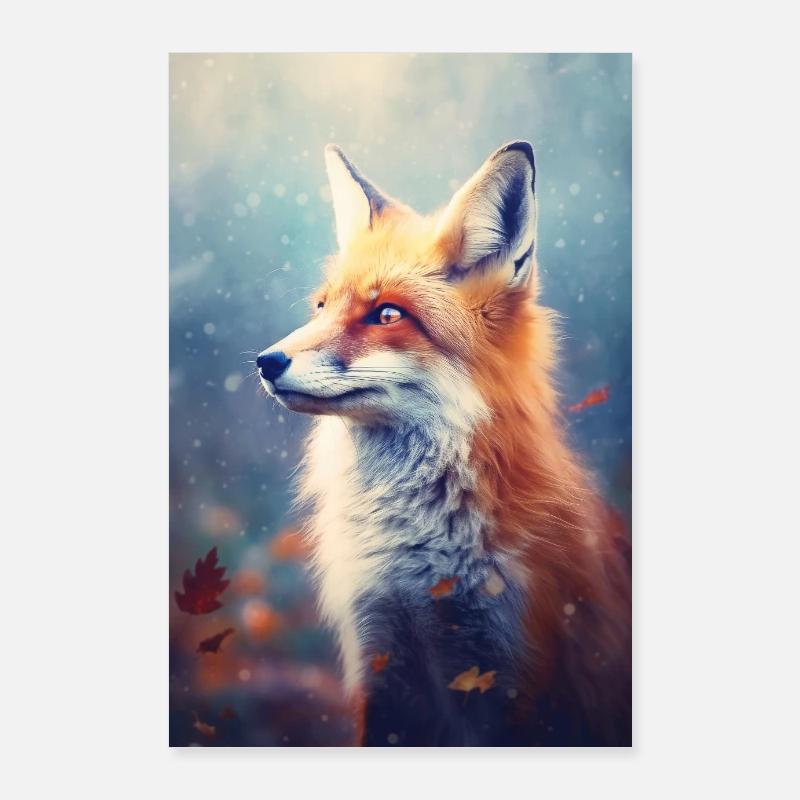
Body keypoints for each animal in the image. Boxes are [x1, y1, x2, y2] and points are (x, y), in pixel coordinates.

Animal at [258, 141, 631, 746]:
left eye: (387, 314)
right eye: (321, 308)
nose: (265, 362)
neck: (417, 563)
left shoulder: (519, 683)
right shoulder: (382, 667)